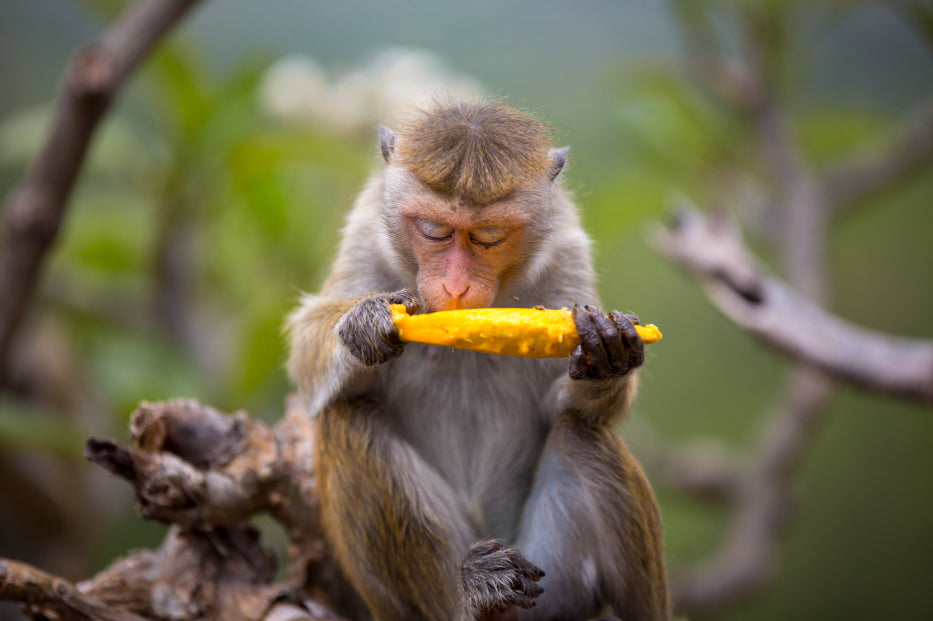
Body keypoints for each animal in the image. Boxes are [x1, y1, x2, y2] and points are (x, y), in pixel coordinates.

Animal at [286, 100, 669, 621]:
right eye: (434, 231)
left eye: (489, 237)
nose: (456, 287)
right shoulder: (365, 232)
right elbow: (307, 350)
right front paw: (365, 321)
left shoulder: (567, 253)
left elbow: (568, 406)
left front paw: (605, 350)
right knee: (347, 421)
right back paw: (471, 594)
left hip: (555, 586)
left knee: (585, 434)